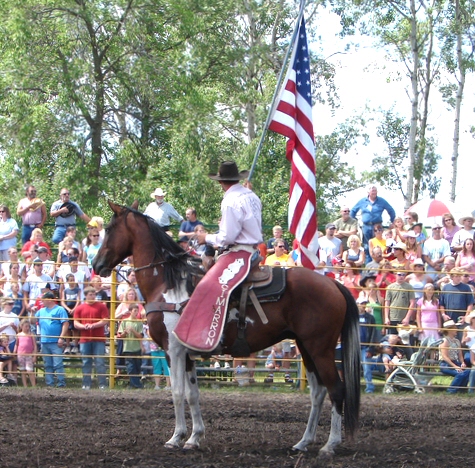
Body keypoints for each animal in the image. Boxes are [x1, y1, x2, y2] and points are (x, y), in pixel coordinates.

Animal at [92, 200, 360, 458]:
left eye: (109, 229)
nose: (96, 264)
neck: (169, 285)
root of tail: (333, 284)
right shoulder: (186, 353)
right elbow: (192, 394)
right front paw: (194, 438)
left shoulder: (173, 350)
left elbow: (177, 392)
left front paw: (175, 438)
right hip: (306, 348)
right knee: (318, 392)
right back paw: (303, 442)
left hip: (320, 349)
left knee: (336, 389)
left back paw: (330, 445)